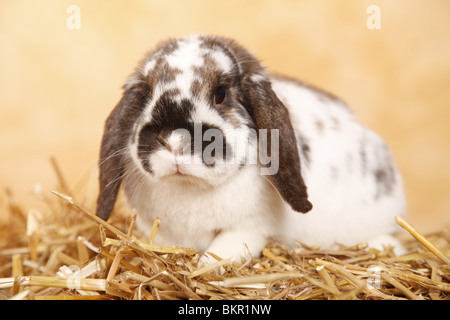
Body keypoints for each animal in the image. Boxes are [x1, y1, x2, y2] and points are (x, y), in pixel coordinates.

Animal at [96, 34, 408, 262]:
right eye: (146, 95)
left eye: (221, 93)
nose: (174, 143)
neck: (190, 188)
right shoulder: (158, 231)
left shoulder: (249, 228)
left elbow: (221, 252)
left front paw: (205, 266)